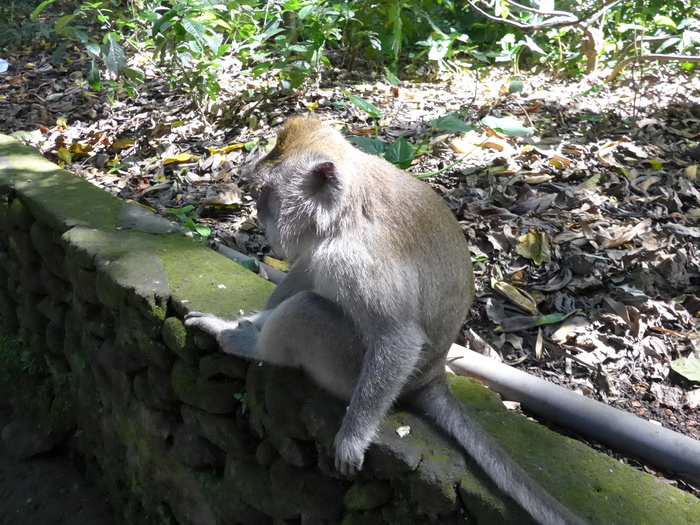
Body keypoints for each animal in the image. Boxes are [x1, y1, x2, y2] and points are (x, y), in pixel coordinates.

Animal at [185, 115, 584, 524]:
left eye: (267, 192)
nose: (259, 214)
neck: (343, 209)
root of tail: (433, 373)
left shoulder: (354, 259)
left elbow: (398, 338)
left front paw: (353, 437)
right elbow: (308, 268)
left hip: (345, 369)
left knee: (307, 308)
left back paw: (249, 345)